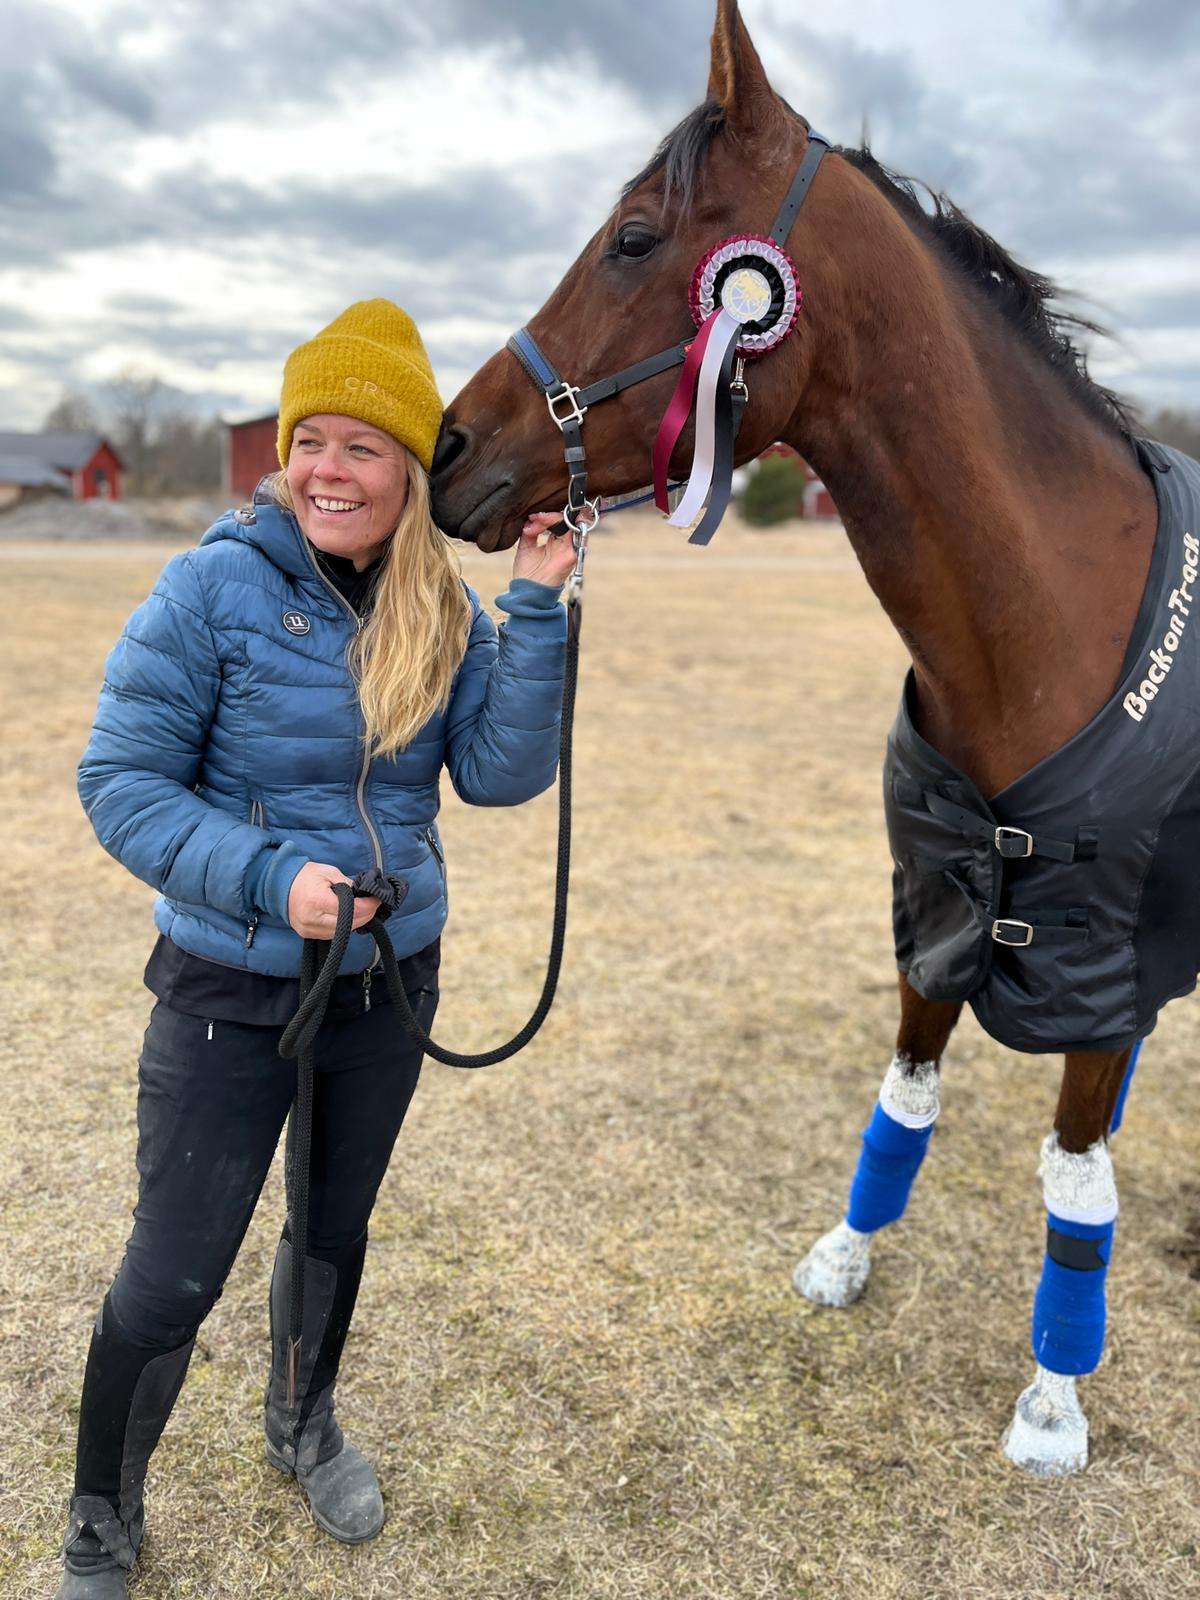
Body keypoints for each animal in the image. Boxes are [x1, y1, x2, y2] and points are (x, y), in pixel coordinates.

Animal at [428, 0, 1184, 1472]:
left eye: (634, 238)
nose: (446, 449)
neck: (1044, 628)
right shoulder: (941, 905)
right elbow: (908, 1096)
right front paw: (845, 1253)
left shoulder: (1099, 960)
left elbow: (1075, 1174)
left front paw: (1053, 1397)